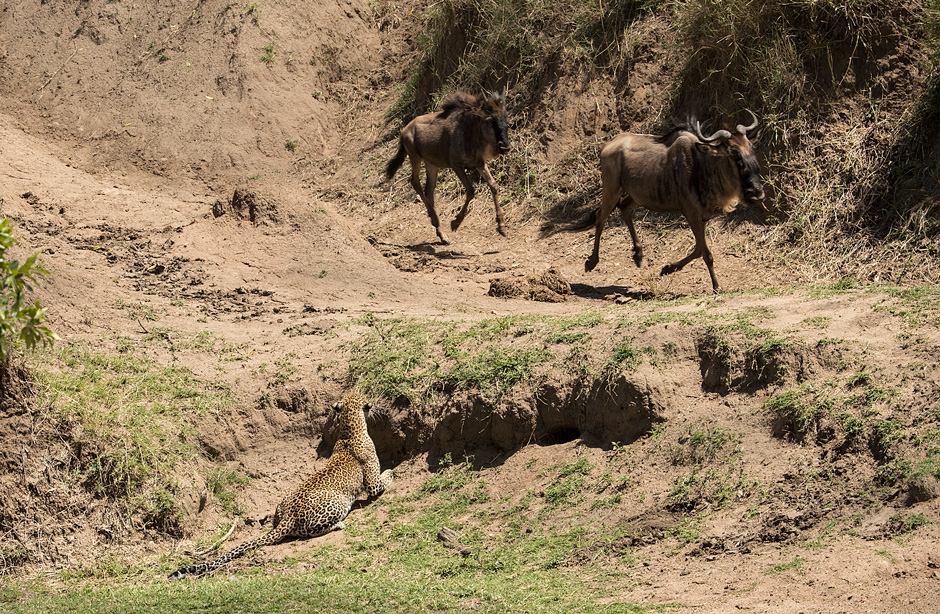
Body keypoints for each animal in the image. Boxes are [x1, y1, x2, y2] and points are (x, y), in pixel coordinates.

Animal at [167, 394, 392, 584]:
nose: (373, 405)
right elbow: (381, 481)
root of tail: (288, 517)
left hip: (285, 500)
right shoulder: (372, 483)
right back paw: (338, 525)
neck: (350, 429)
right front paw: (391, 472)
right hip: (336, 502)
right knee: (311, 531)